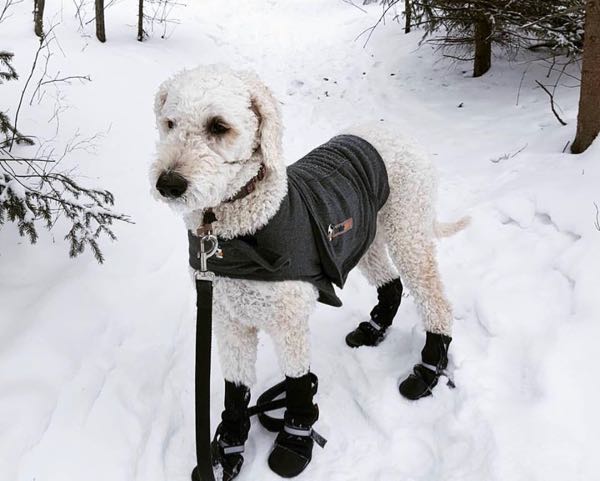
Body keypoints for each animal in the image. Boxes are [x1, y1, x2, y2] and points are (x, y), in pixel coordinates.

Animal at [150, 64, 468, 480]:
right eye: (169, 124)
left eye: (218, 126)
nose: (168, 184)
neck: (241, 229)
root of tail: (399, 134)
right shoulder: (228, 319)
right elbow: (236, 390)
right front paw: (226, 450)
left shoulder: (289, 321)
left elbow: (298, 382)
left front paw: (295, 440)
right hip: (364, 237)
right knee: (391, 283)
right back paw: (374, 329)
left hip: (408, 231)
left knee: (435, 301)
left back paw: (427, 370)